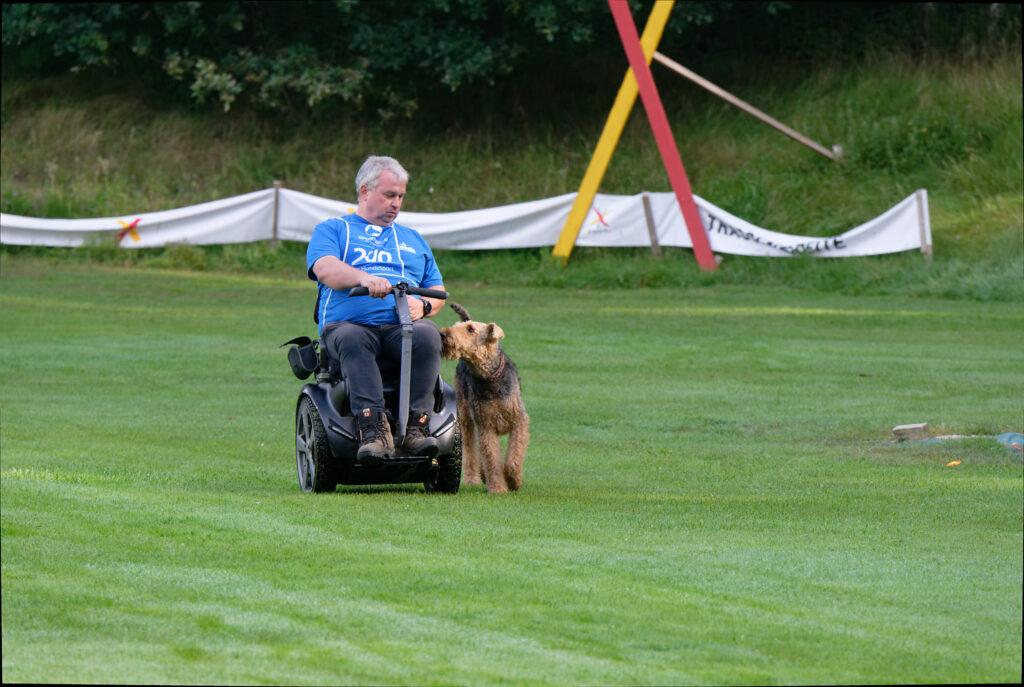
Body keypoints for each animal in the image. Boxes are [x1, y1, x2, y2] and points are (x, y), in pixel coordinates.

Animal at [436, 303, 528, 491]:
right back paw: (474, 478)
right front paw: (498, 488)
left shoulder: (519, 421)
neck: (490, 378)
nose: (443, 334)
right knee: (471, 451)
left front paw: (513, 480)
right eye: (456, 326)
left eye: (471, 329)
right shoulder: (486, 426)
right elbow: (491, 458)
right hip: (466, 419)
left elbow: (514, 457)